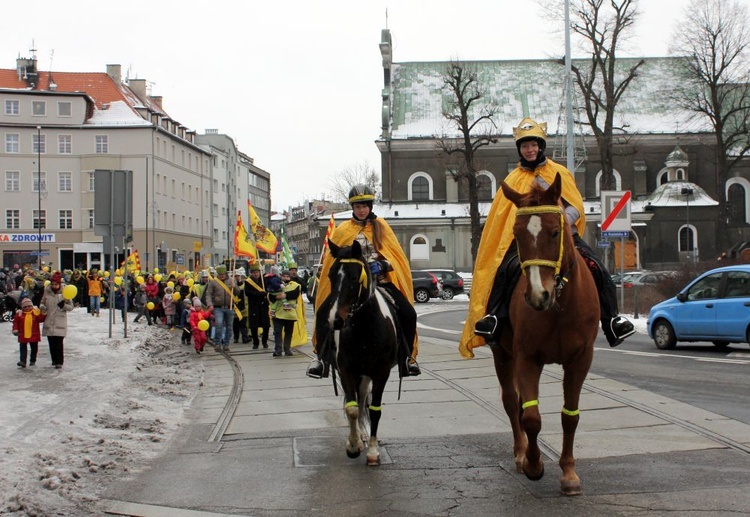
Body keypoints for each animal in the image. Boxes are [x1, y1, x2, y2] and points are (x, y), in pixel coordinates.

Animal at [312, 240, 402, 466]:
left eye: (354, 276)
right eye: (331, 275)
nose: (335, 320)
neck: (364, 327)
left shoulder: (381, 372)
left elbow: (374, 410)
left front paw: (373, 451)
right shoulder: (346, 370)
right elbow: (351, 408)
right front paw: (353, 446)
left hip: (366, 374)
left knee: (363, 401)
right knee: (358, 402)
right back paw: (359, 436)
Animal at [490, 173, 604, 496]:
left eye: (555, 232)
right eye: (516, 234)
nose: (538, 295)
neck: (559, 309)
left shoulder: (581, 360)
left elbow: (570, 416)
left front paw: (569, 474)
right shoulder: (528, 357)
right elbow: (530, 417)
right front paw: (533, 465)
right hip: (502, 354)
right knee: (510, 400)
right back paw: (520, 454)